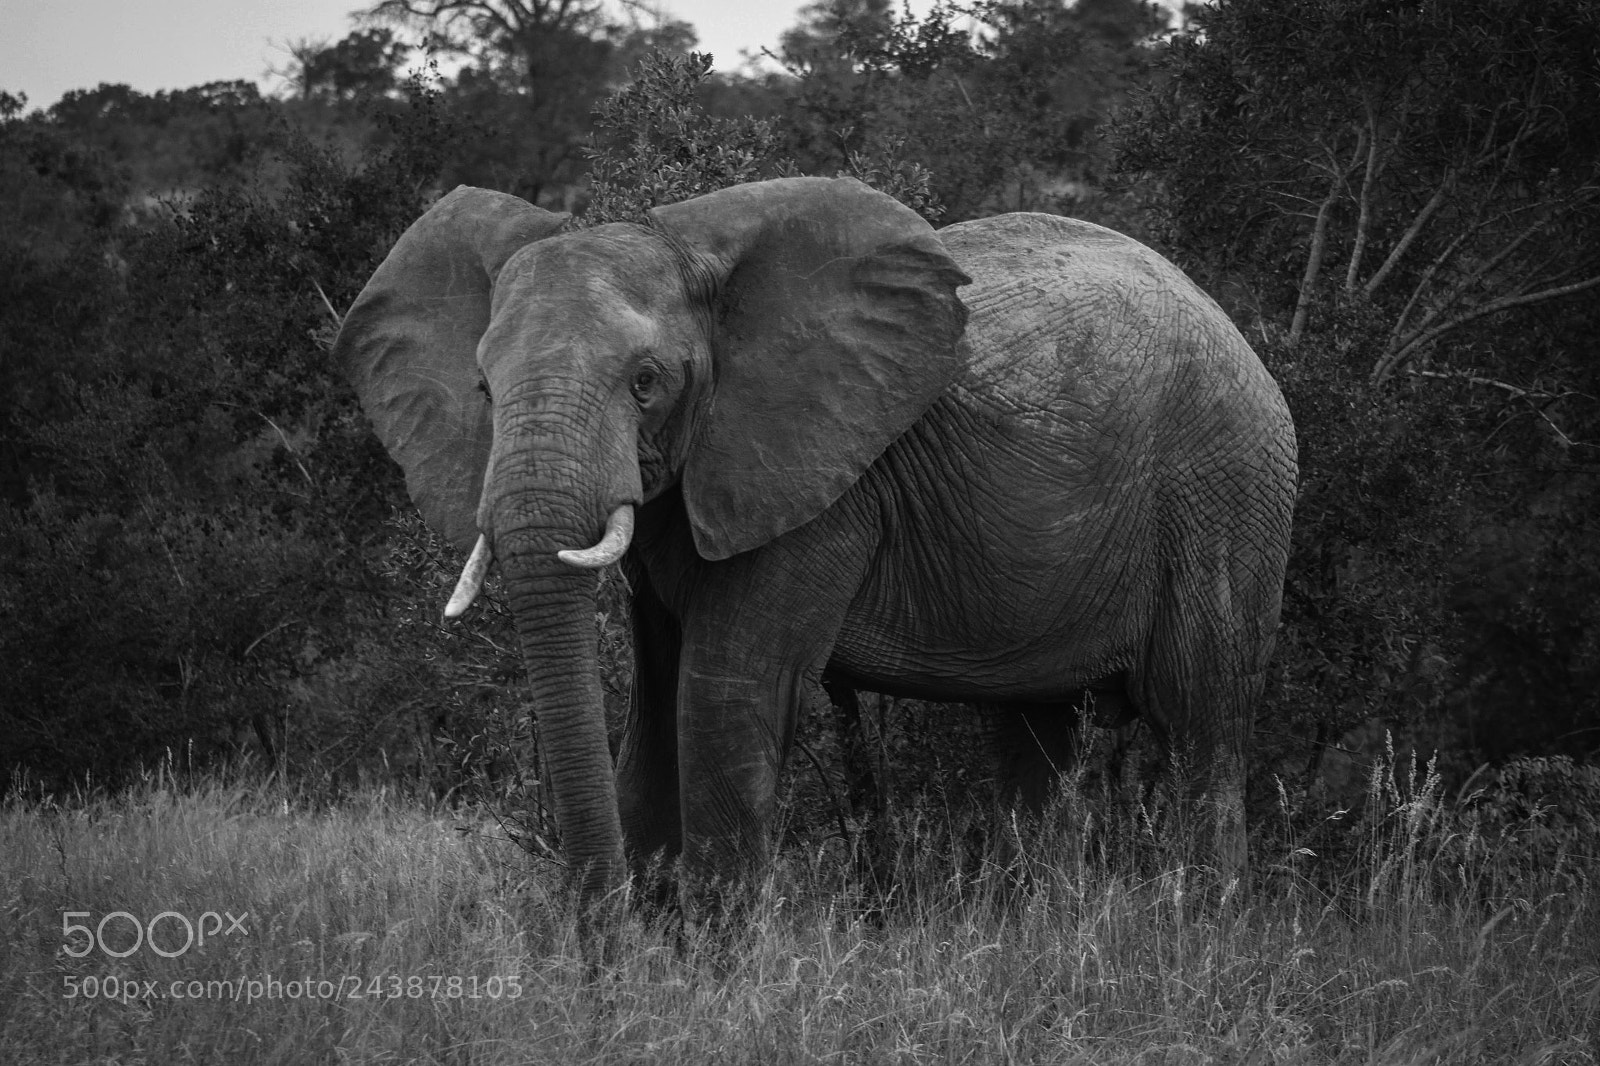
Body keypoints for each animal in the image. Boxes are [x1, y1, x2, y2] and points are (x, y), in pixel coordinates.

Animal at [334, 176, 1297, 901]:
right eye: (484, 389)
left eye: (646, 381)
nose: (598, 944)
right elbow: (654, 707)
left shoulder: (820, 482)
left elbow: (724, 697)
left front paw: (712, 977)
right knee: (1039, 735)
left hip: (1229, 488)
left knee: (1201, 723)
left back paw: (1200, 928)